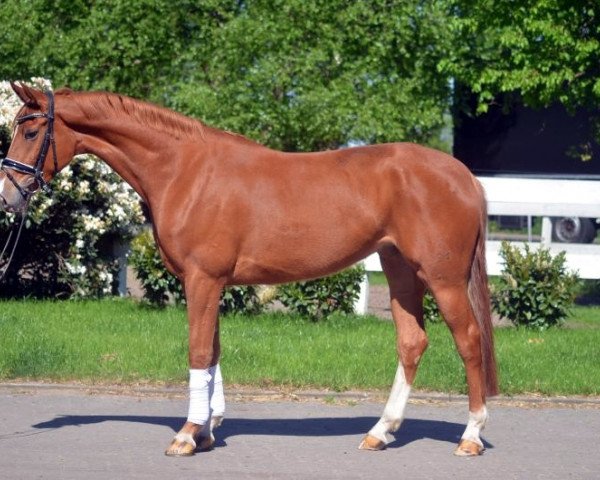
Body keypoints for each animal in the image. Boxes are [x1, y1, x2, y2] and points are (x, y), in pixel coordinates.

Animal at [1, 83, 496, 458]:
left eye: (31, 128)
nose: (8, 195)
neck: (184, 170)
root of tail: (464, 175)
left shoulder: (202, 279)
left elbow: (198, 351)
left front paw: (186, 435)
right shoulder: (211, 282)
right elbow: (213, 353)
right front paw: (206, 430)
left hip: (443, 279)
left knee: (468, 340)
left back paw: (470, 436)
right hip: (398, 269)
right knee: (412, 342)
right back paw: (380, 431)